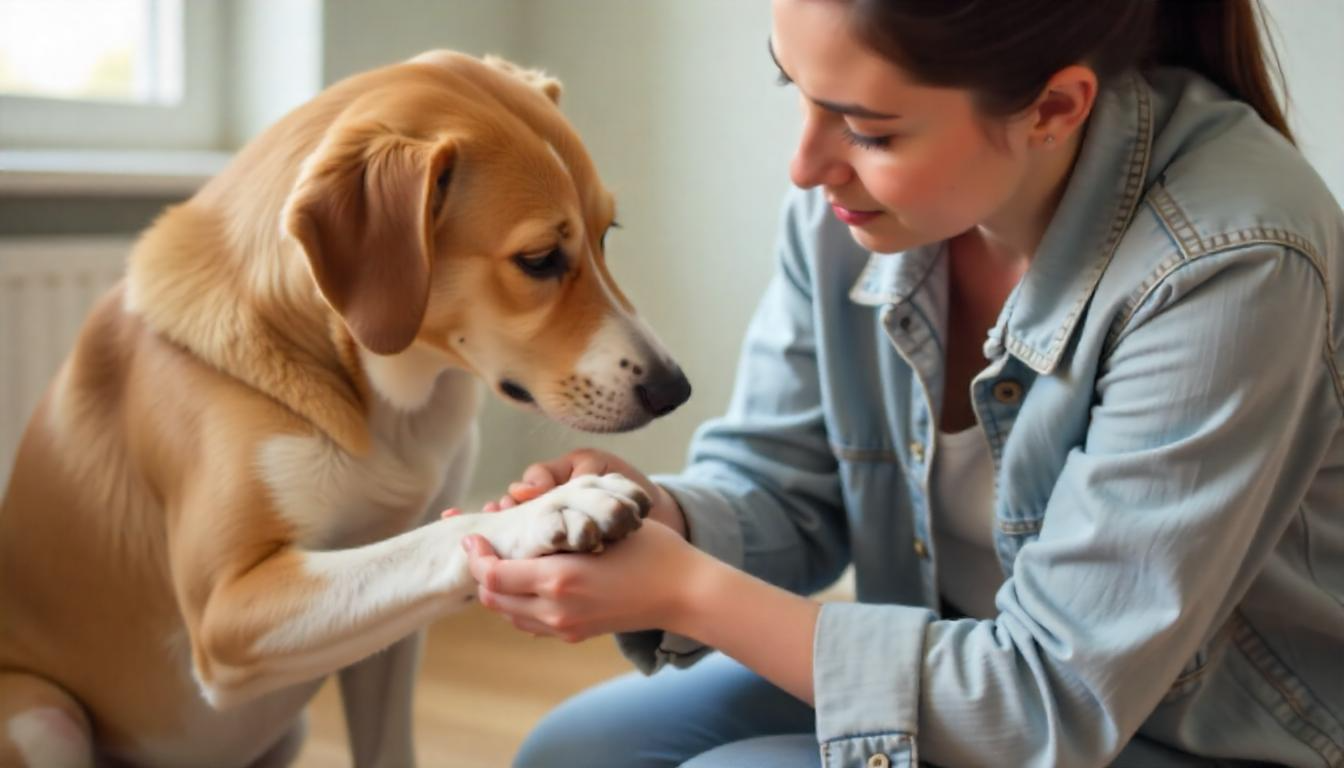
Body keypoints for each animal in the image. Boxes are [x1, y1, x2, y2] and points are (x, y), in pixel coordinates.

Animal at [0, 51, 688, 763]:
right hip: (40, 714)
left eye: (607, 234)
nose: (675, 390)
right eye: (540, 259)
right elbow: (424, 541)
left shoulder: (384, 651)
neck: (385, 401)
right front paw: (551, 508)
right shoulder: (225, 610)